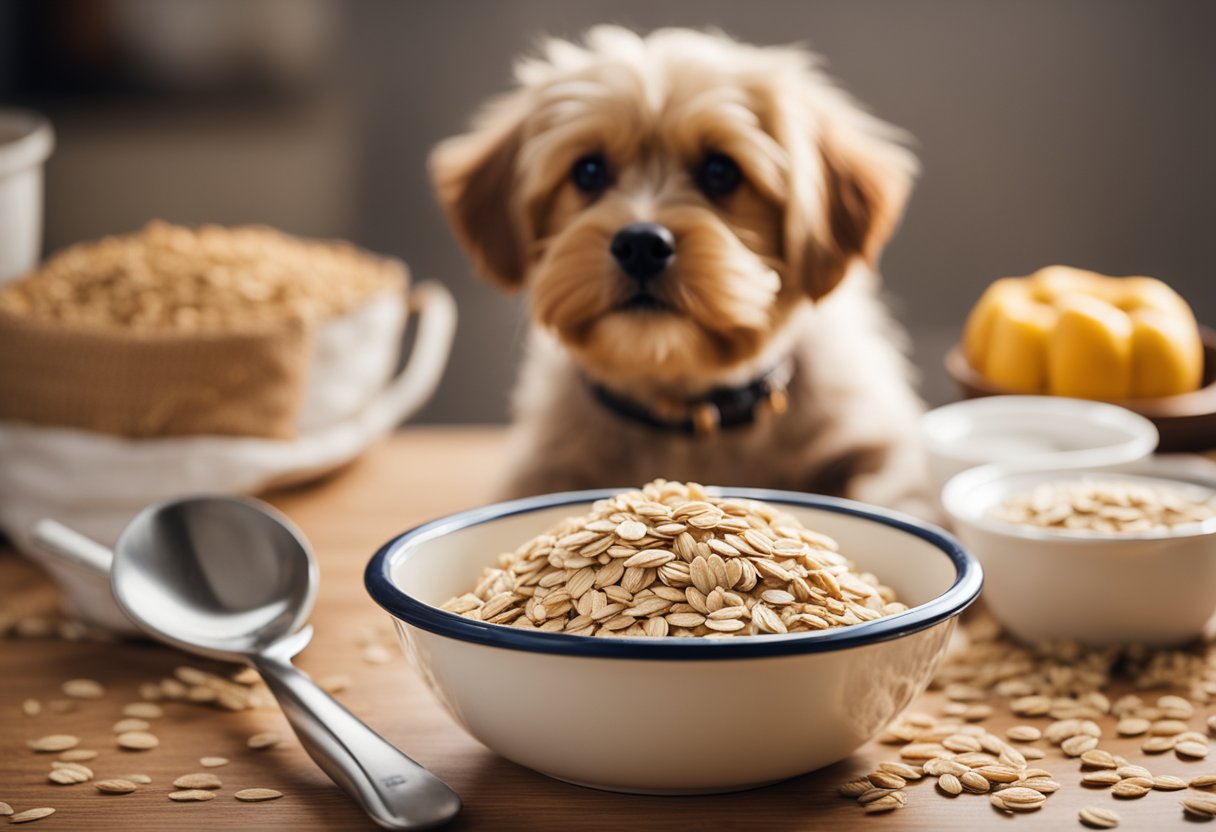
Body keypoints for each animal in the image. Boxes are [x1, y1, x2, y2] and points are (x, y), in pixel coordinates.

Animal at [435, 26, 929, 513]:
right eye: (589, 170)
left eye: (721, 171)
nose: (641, 245)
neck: (688, 416)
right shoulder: (542, 466)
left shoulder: (875, 437)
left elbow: (903, 487)